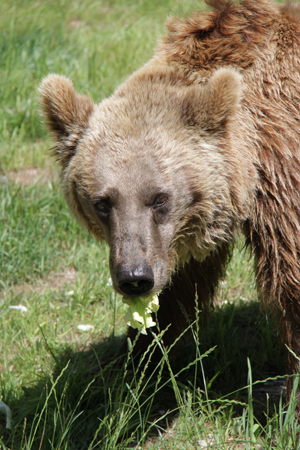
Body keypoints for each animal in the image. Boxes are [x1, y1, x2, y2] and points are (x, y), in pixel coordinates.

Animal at [39, 0, 300, 408]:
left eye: (159, 197)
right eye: (103, 202)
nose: (134, 278)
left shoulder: (282, 168)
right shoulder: (178, 236)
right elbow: (178, 289)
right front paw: (140, 366)